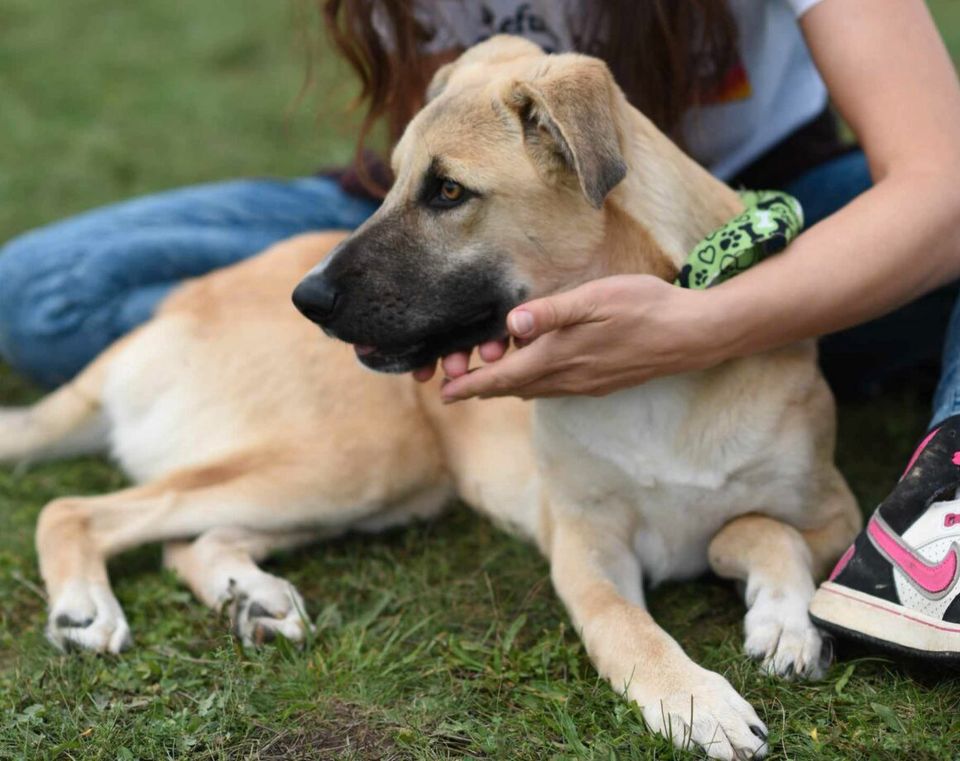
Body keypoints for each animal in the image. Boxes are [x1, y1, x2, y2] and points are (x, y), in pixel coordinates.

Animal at [1, 38, 864, 760]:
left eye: (448, 191)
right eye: (390, 183)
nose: (305, 300)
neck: (656, 380)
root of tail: (166, 313)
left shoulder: (835, 515)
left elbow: (755, 526)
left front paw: (785, 623)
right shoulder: (584, 547)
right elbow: (628, 627)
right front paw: (695, 701)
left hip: (377, 482)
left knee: (187, 536)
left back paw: (256, 598)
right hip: (354, 458)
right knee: (76, 509)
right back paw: (86, 605)